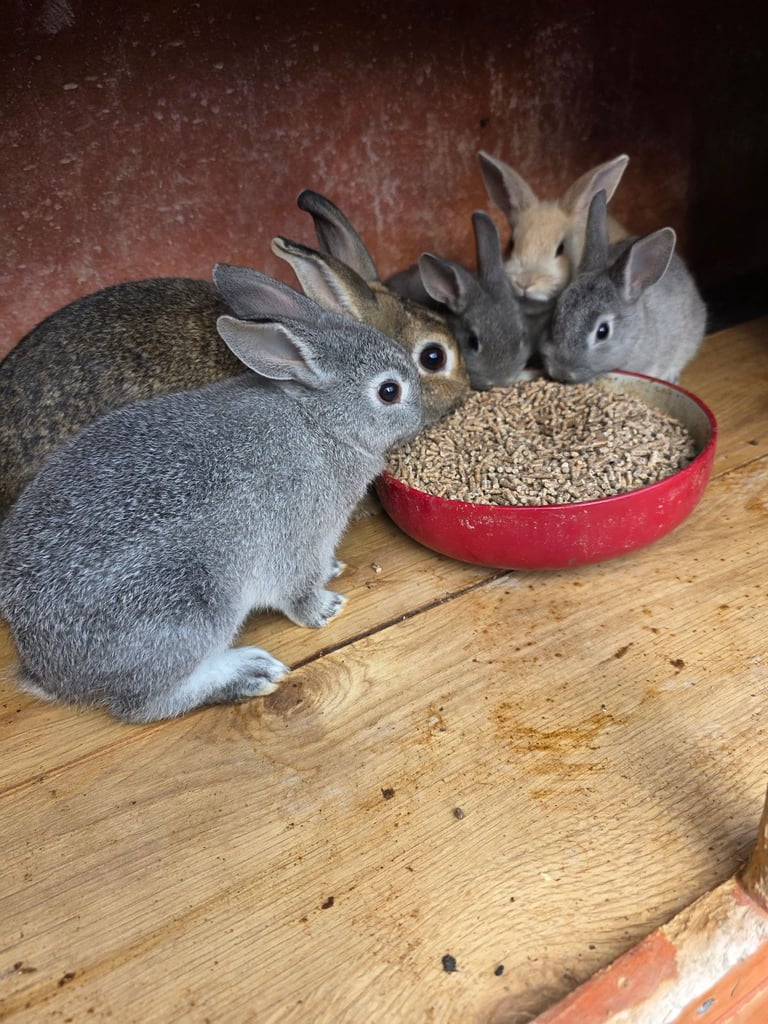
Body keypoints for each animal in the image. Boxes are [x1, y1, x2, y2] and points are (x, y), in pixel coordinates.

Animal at [0, 265, 424, 723]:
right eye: (388, 391)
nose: (424, 416)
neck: (321, 421)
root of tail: (43, 668)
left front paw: (333, 569)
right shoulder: (299, 538)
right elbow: (298, 591)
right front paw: (325, 608)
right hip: (194, 608)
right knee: (144, 703)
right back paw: (248, 674)